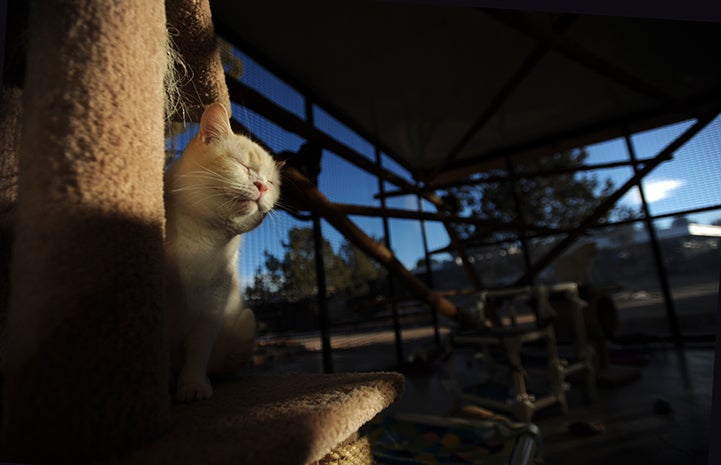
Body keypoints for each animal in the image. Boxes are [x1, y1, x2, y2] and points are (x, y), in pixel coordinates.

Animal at [164, 103, 282, 400]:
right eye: (243, 166)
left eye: (272, 183)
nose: (262, 186)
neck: (202, 244)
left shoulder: (212, 309)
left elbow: (197, 352)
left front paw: (193, 385)